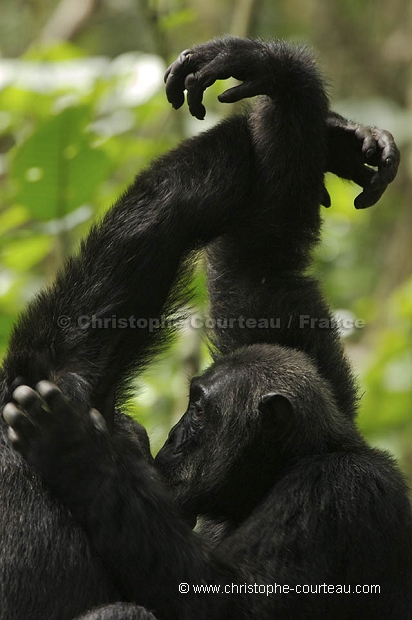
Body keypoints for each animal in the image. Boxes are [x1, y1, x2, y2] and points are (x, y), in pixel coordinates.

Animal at [0, 36, 408, 620]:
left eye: (197, 409)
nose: (170, 438)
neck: (270, 477)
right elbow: (262, 268)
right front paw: (290, 89)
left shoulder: (336, 498)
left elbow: (233, 602)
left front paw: (77, 453)